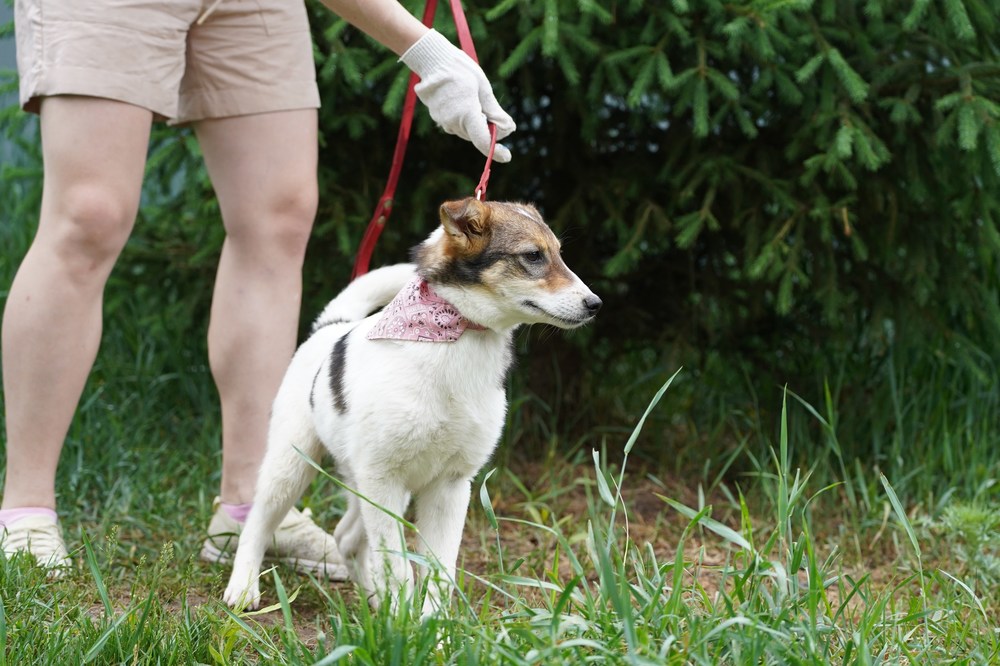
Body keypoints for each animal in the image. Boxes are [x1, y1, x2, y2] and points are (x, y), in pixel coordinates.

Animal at [223, 197, 601, 615]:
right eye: (533, 255)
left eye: (560, 254)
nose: (595, 304)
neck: (452, 339)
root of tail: (330, 327)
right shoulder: (383, 480)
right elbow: (398, 564)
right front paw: (402, 618)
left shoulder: (450, 485)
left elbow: (439, 569)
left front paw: (430, 625)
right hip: (291, 465)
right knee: (259, 523)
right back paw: (244, 587)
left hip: (369, 480)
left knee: (346, 535)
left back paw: (371, 597)